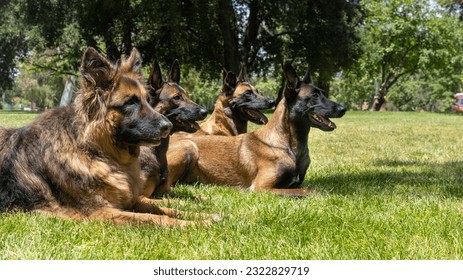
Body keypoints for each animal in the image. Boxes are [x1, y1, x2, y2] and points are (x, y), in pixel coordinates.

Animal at [165, 62, 346, 196]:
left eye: (323, 93)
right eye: (314, 96)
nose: (343, 108)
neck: (287, 145)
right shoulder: (262, 188)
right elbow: (312, 190)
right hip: (188, 147)